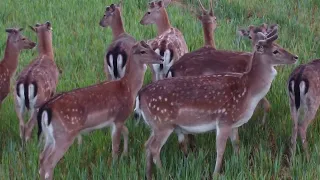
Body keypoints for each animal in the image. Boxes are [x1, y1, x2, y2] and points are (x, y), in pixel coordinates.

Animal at [36, 41, 164, 180]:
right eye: (142, 51)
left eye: (151, 47)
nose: (161, 58)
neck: (128, 88)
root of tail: (46, 109)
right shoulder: (119, 117)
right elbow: (115, 146)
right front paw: (114, 167)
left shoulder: (114, 120)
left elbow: (126, 132)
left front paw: (124, 155)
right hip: (64, 134)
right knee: (49, 162)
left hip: (50, 136)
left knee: (42, 158)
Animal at [134, 27, 298, 179]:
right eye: (276, 51)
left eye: (280, 45)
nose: (295, 57)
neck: (249, 92)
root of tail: (140, 95)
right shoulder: (224, 120)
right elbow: (220, 149)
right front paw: (216, 173)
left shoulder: (233, 123)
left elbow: (236, 144)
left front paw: (239, 163)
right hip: (163, 123)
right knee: (154, 148)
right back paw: (164, 173)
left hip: (154, 125)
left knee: (146, 145)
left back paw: (148, 174)